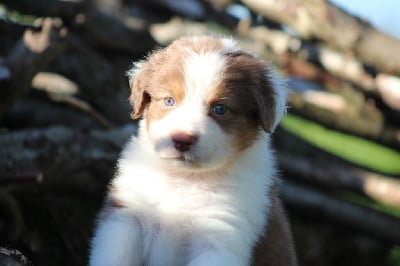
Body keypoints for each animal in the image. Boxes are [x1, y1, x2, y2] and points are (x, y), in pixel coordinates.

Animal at [90, 35, 296, 266]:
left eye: (220, 109)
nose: (182, 139)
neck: (184, 179)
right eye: (169, 100)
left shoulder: (219, 239)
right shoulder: (125, 219)